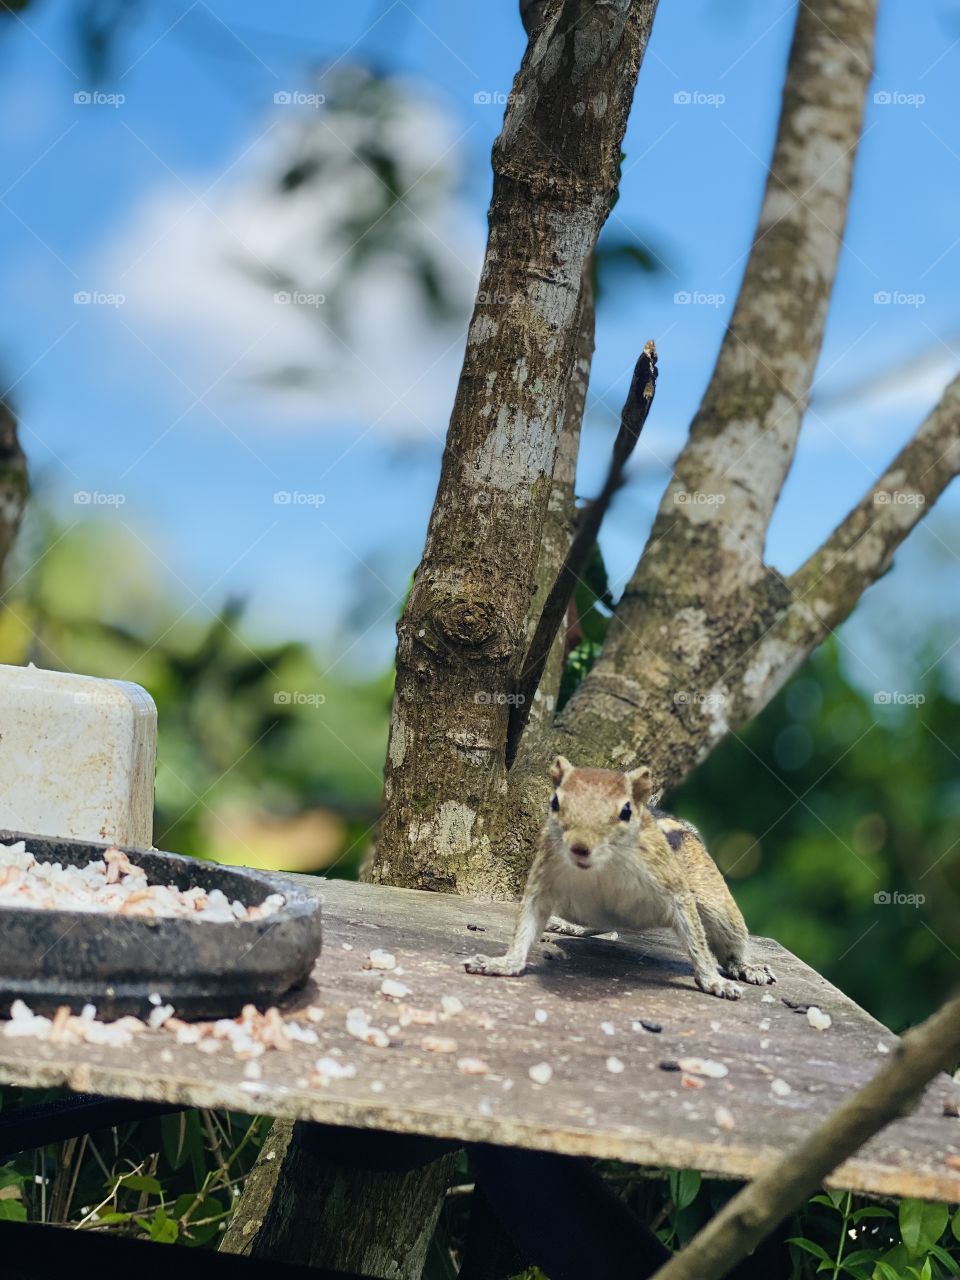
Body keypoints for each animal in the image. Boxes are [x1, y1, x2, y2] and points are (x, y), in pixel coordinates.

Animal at [465, 756, 775, 1000]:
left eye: (625, 810)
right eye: (555, 802)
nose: (580, 846)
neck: (602, 865)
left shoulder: (676, 891)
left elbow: (698, 944)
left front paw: (714, 981)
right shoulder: (543, 881)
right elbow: (526, 925)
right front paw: (504, 962)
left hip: (719, 907)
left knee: (731, 941)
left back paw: (747, 968)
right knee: (601, 925)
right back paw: (569, 926)